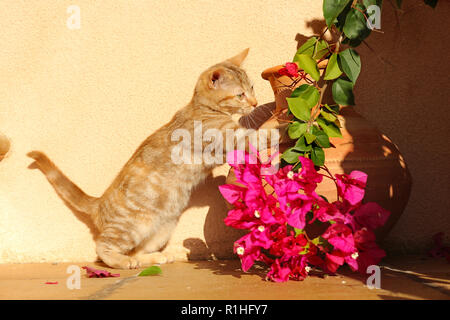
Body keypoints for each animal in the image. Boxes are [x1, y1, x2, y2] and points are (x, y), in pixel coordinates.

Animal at [27, 49, 278, 270]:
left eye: (252, 88)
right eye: (240, 94)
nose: (255, 102)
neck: (204, 109)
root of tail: (99, 203)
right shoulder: (234, 139)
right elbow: (261, 134)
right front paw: (280, 123)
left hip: (162, 229)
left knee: (138, 251)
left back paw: (154, 258)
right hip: (130, 229)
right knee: (102, 248)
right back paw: (122, 262)